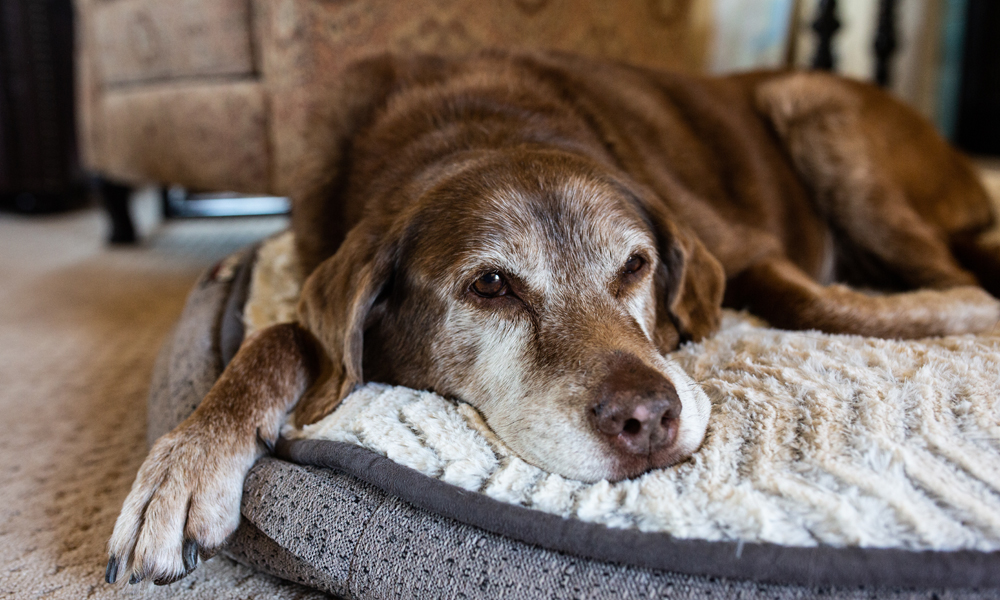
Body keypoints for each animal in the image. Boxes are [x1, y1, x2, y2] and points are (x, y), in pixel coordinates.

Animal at [103, 51, 1000, 584]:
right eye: (493, 286)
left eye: (636, 266)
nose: (648, 420)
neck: (474, 126)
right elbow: (283, 336)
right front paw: (185, 464)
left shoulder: (740, 248)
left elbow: (809, 299)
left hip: (816, 109)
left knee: (948, 268)